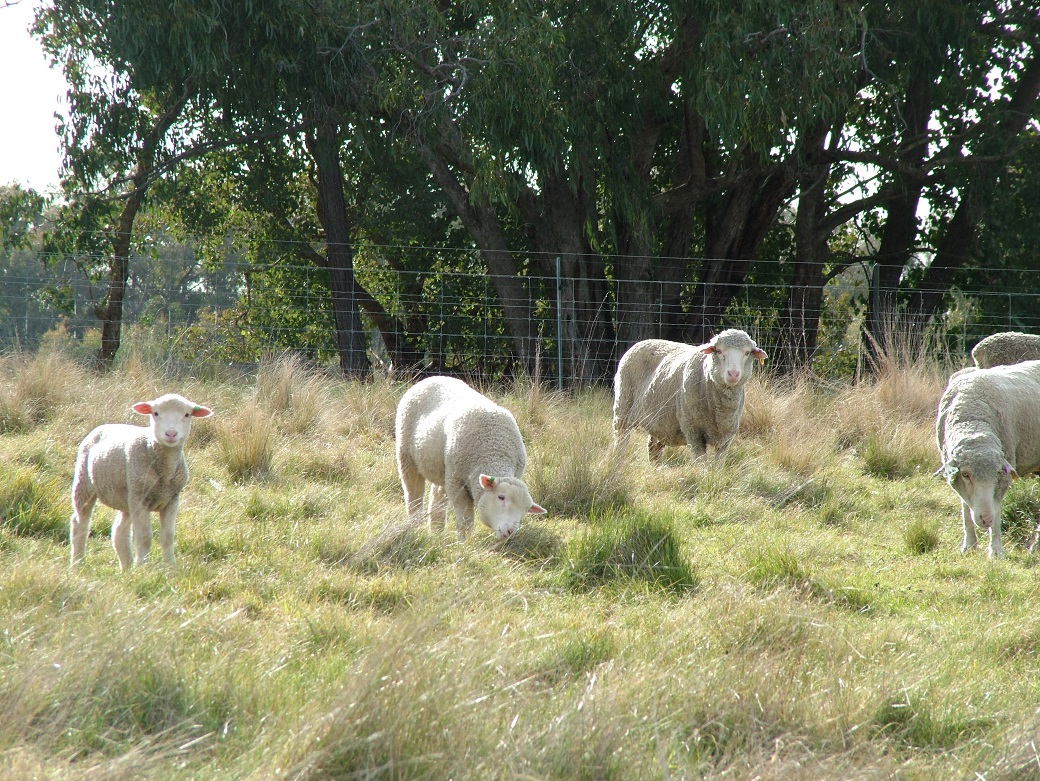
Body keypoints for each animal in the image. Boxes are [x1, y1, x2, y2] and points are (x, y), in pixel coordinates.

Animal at [69, 393, 213, 569]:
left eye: (187, 414)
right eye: (155, 413)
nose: (171, 434)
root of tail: (103, 426)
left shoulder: (172, 499)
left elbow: (168, 537)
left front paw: (171, 568)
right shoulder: (140, 498)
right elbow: (144, 537)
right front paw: (143, 568)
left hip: (127, 497)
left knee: (119, 531)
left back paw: (126, 568)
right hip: (85, 483)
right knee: (79, 523)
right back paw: (77, 564)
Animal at [393, 376, 549, 540]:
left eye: (525, 509)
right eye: (501, 497)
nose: (510, 531)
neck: (494, 451)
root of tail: (433, 377)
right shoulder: (458, 483)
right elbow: (466, 520)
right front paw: (464, 541)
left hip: (443, 469)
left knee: (437, 497)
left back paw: (436, 530)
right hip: (406, 456)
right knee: (413, 494)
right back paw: (415, 524)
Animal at [611, 326, 769, 461]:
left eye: (747, 353)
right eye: (718, 351)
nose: (733, 374)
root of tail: (643, 341)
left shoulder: (726, 438)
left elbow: (718, 466)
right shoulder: (694, 432)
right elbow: (701, 464)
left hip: (659, 420)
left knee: (653, 448)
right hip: (623, 407)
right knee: (621, 440)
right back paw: (616, 463)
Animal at [931, 359, 1040, 557]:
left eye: (996, 474)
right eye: (965, 474)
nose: (985, 519)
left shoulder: (1004, 474)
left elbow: (996, 512)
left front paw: (995, 551)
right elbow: (965, 509)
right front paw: (969, 545)